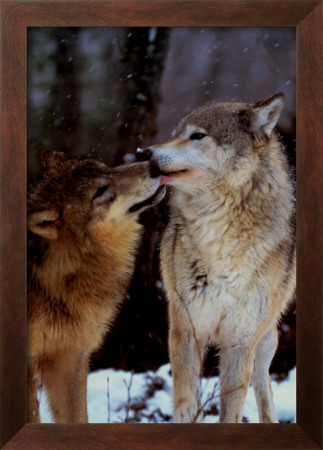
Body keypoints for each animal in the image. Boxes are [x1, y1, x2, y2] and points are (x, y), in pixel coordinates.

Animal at [139, 93, 296, 424]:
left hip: (265, 342)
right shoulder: (185, 327)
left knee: (264, 387)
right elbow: (185, 400)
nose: (143, 153)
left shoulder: (241, 341)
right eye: (175, 134)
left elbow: (231, 410)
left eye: (197, 136)